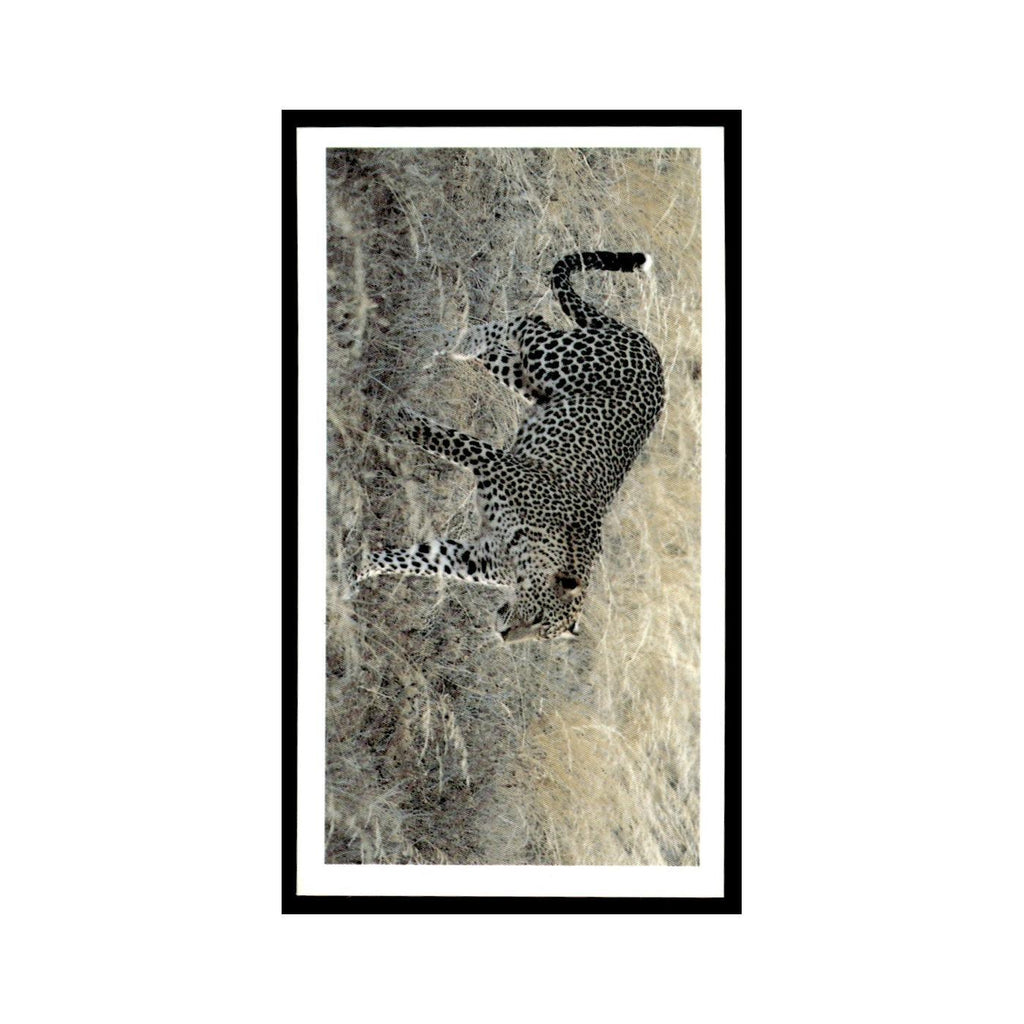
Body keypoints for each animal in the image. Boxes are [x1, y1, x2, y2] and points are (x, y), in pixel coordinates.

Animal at [356, 251, 665, 642]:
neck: (531, 552)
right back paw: (464, 342)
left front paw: (359, 569)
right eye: (539, 619)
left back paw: (454, 340)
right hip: (551, 362)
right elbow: (446, 439)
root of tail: (649, 347)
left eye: (542, 636)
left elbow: (414, 560)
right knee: (529, 321)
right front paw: (401, 417)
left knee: (507, 344)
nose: (505, 638)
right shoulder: (494, 461)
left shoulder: (470, 557)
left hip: (531, 381)